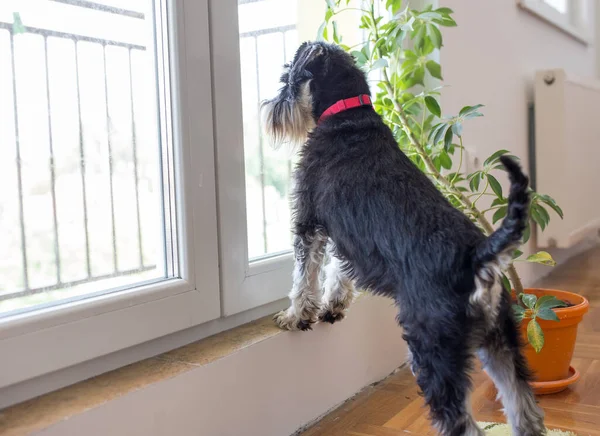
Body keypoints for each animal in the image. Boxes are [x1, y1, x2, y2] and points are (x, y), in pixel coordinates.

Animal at [260, 41, 548, 436]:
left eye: (286, 77)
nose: (269, 109)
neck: (347, 115)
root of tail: (478, 254)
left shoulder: (309, 221)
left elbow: (304, 276)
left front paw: (295, 315)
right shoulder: (349, 234)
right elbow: (340, 271)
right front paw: (334, 304)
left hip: (432, 351)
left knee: (461, 421)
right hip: (502, 342)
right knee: (525, 412)